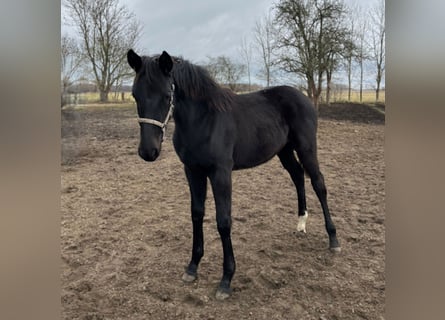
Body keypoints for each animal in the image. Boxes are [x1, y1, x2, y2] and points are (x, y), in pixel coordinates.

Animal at [126, 48, 338, 298]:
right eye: (135, 95)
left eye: (167, 96)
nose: (148, 151)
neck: (204, 120)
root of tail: (302, 96)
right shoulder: (193, 171)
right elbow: (196, 214)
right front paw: (192, 267)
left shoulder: (221, 173)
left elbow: (223, 221)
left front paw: (226, 279)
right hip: (284, 151)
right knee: (297, 177)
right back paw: (301, 224)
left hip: (306, 148)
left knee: (318, 183)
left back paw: (333, 239)